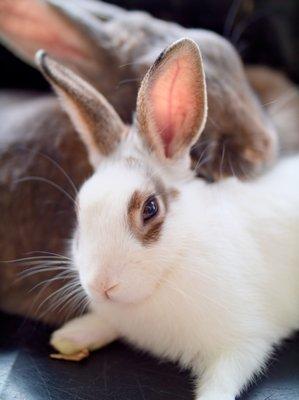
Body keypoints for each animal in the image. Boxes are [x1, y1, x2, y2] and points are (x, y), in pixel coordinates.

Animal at [36, 38, 299, 400]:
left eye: (150, 208)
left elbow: (222, 383)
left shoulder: (241, 346)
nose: (102, 286)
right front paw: (70, 336)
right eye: (79, 208)